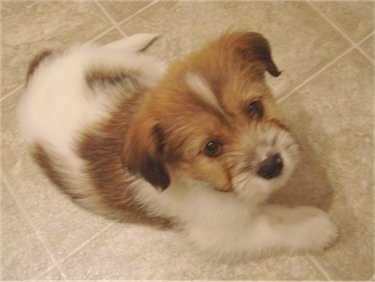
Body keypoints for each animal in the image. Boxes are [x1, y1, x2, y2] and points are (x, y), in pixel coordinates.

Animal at [19, 32, 340, 258]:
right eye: (210, 147)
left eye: (255, 107)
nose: (273, 165)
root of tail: (38, 70)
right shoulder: (222, 231)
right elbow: (272, 224)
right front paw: (315, 225)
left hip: (116, 64)